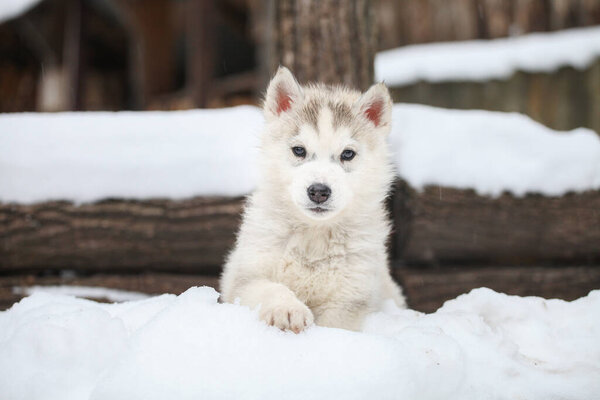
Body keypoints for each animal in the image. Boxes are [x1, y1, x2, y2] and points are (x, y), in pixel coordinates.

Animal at [220, 67, 408, 332]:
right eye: (299, 150)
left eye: (347, 154)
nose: (319, 191)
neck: (314, 236)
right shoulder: (246, 278)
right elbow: (270, 288)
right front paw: (288, 310)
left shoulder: (349, 300)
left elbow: (335, 325)